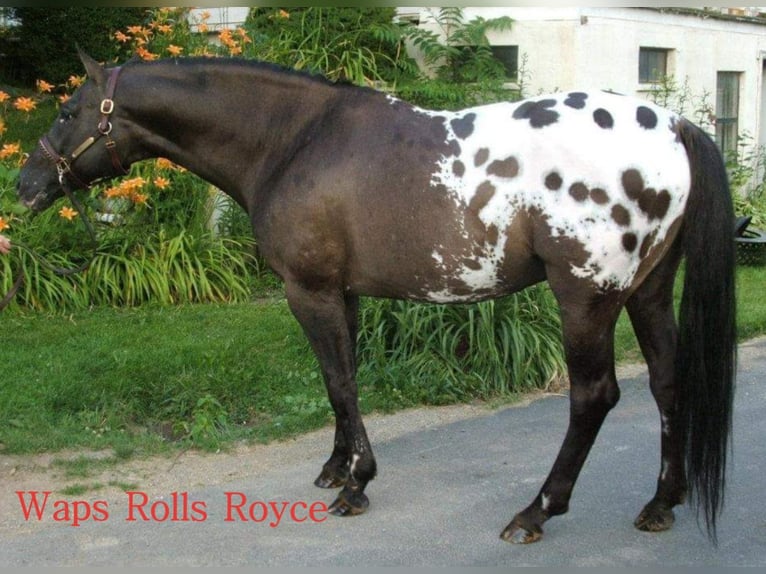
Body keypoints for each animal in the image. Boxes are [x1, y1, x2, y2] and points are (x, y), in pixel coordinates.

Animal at [17, 51, 736, 545]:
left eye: (68, 111)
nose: (24, 185)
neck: (291, 139)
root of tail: (673, 126)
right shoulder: (343, 293)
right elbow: (346, 379)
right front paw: (338, 467)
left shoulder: (308, 290)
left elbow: (338, 381)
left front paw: (356, 486)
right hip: (647, 291)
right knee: (668, 382)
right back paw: (661, 503)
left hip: (586, 297)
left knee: (594, 397)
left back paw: (536, 512)